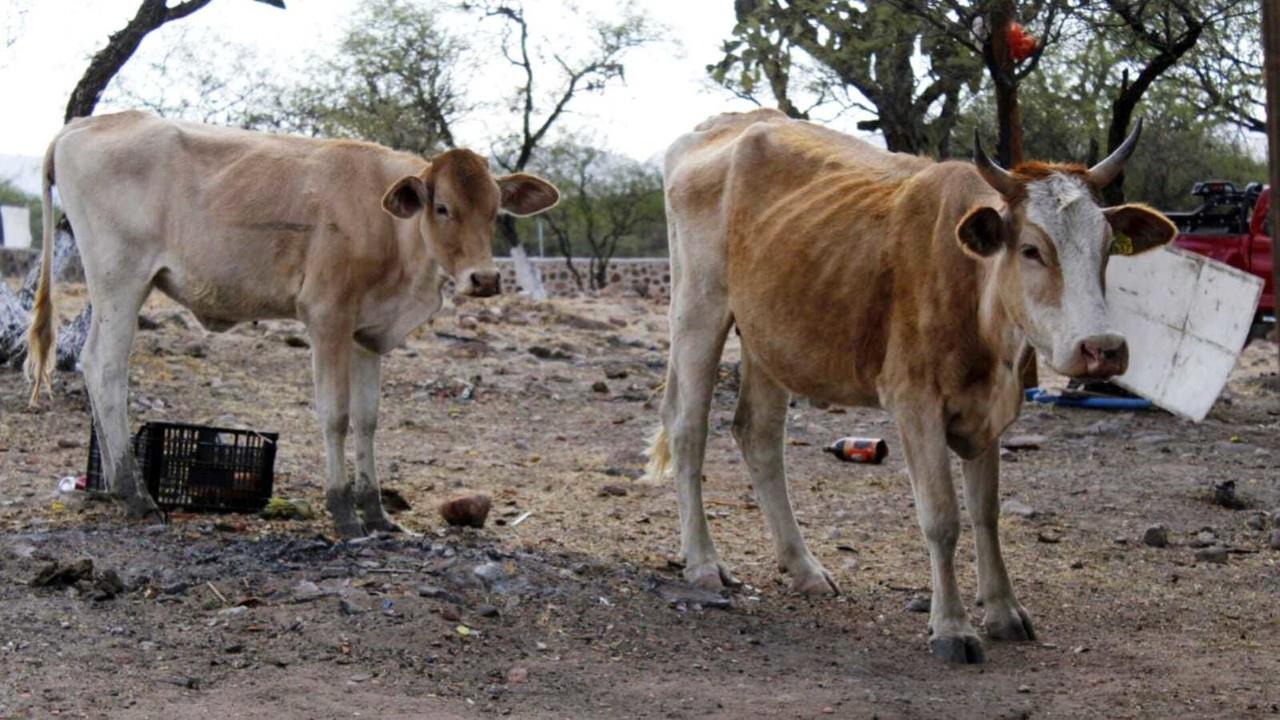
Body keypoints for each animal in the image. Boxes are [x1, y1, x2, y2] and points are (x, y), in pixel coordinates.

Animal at [27, 110, 558, 532]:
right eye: (443, 207)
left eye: (496, 211)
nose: (484, 279)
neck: (393, 231)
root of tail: (86, 123)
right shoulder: (327, 319)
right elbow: (336, 416)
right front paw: (343, 513)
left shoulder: (367, 336)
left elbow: (367, 420)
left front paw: (377, 514)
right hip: (121, 281)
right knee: (106, 369)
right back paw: (136, 496)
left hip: (111, 292)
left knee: (92, 366)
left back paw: (113, 488)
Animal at [645, 109, 1172, 666]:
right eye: (1031, 249)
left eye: (1107, 248)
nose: (1103, 347)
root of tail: (729, 121)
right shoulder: (915, 402)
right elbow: (942, 516)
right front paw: (953, 627)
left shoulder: (988, 409)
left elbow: (986, 512)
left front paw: (1003, 610)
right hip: (699, 307)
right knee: (687, 427)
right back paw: (703, 561)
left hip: (770, 334)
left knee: (759, 435)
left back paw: (803, 567)